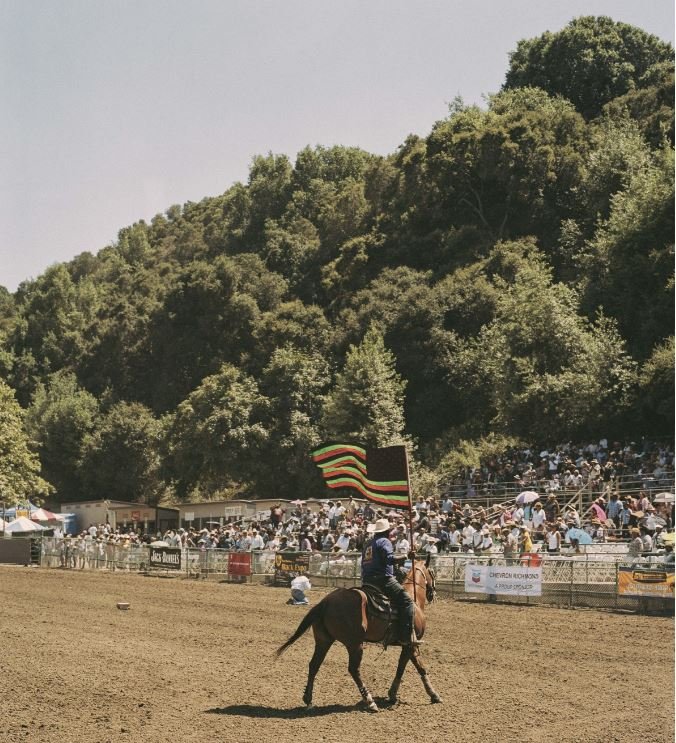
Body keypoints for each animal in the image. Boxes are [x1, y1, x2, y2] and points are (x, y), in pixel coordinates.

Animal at [276, 556, 444, 712]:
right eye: (432, 572)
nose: (433, 594)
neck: (413, 600)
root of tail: (326, 602)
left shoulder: (409, 645)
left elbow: (414, 667)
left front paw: (426, 694)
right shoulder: (410, 644)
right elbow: (408, 668)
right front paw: (426, 694)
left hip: (324, 640)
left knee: (314, 665)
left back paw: (308, 699)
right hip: (355, 644)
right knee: (353, 669)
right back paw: (370, 702)